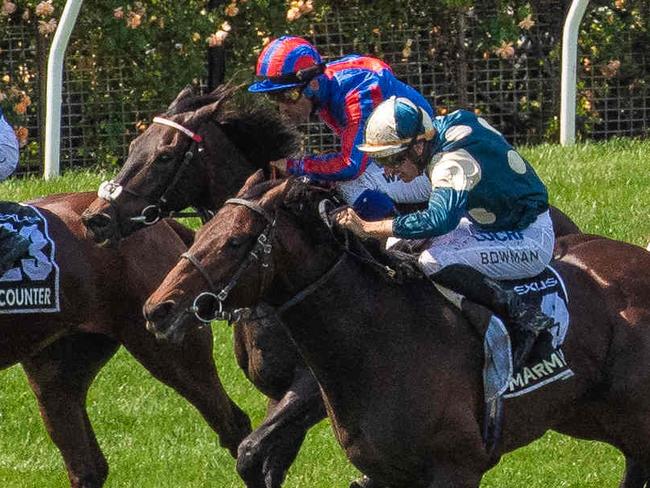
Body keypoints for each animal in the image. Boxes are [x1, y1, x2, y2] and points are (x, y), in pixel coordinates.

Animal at [81, 86, 584, 488]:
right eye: (134, 145)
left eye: (165, 155)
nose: (95, 218)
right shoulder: (288, 391)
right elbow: (260, 460)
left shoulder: (307, 387)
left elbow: (254, 453)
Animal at [144, 173, 648, 488]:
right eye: (201, 232)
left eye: (233, 242)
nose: (157, 309)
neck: (380, 343)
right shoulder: (387, 470)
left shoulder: (457, 468)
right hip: (587, 414)